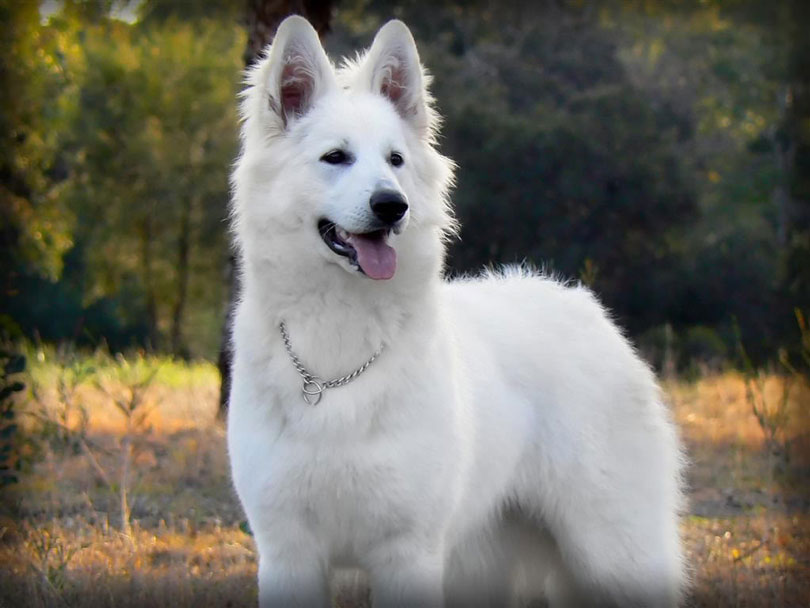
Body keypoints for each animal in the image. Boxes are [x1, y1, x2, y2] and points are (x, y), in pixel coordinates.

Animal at [227, 15, 680, 608]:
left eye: (395, 160)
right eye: (335, 157)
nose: (392, 206)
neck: (338, 349)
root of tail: (583, 306)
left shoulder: (407, 553)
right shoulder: (288, 554)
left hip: (612, 555)